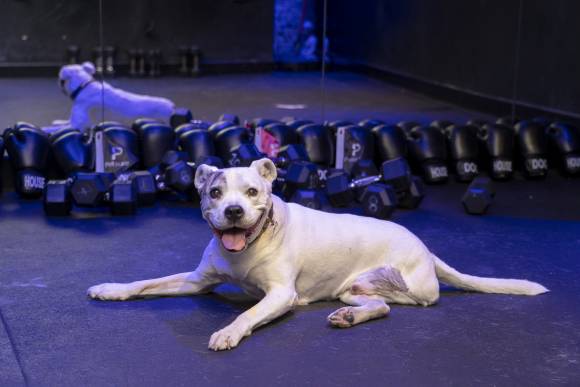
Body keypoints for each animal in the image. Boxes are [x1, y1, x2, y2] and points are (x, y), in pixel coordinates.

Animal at [87, 159, 548, 354]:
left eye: (252, 192)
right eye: (214, 192)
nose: (233, 211)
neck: (250, 246)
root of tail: (428, 250)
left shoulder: (279, 296)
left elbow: (247, 314)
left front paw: (229, 332)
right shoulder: (197, 280)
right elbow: (145, 283)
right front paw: (112, 288)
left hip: (405, 287)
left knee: (399, 304)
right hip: (354, 289)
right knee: (378, 307)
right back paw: (349, 317)